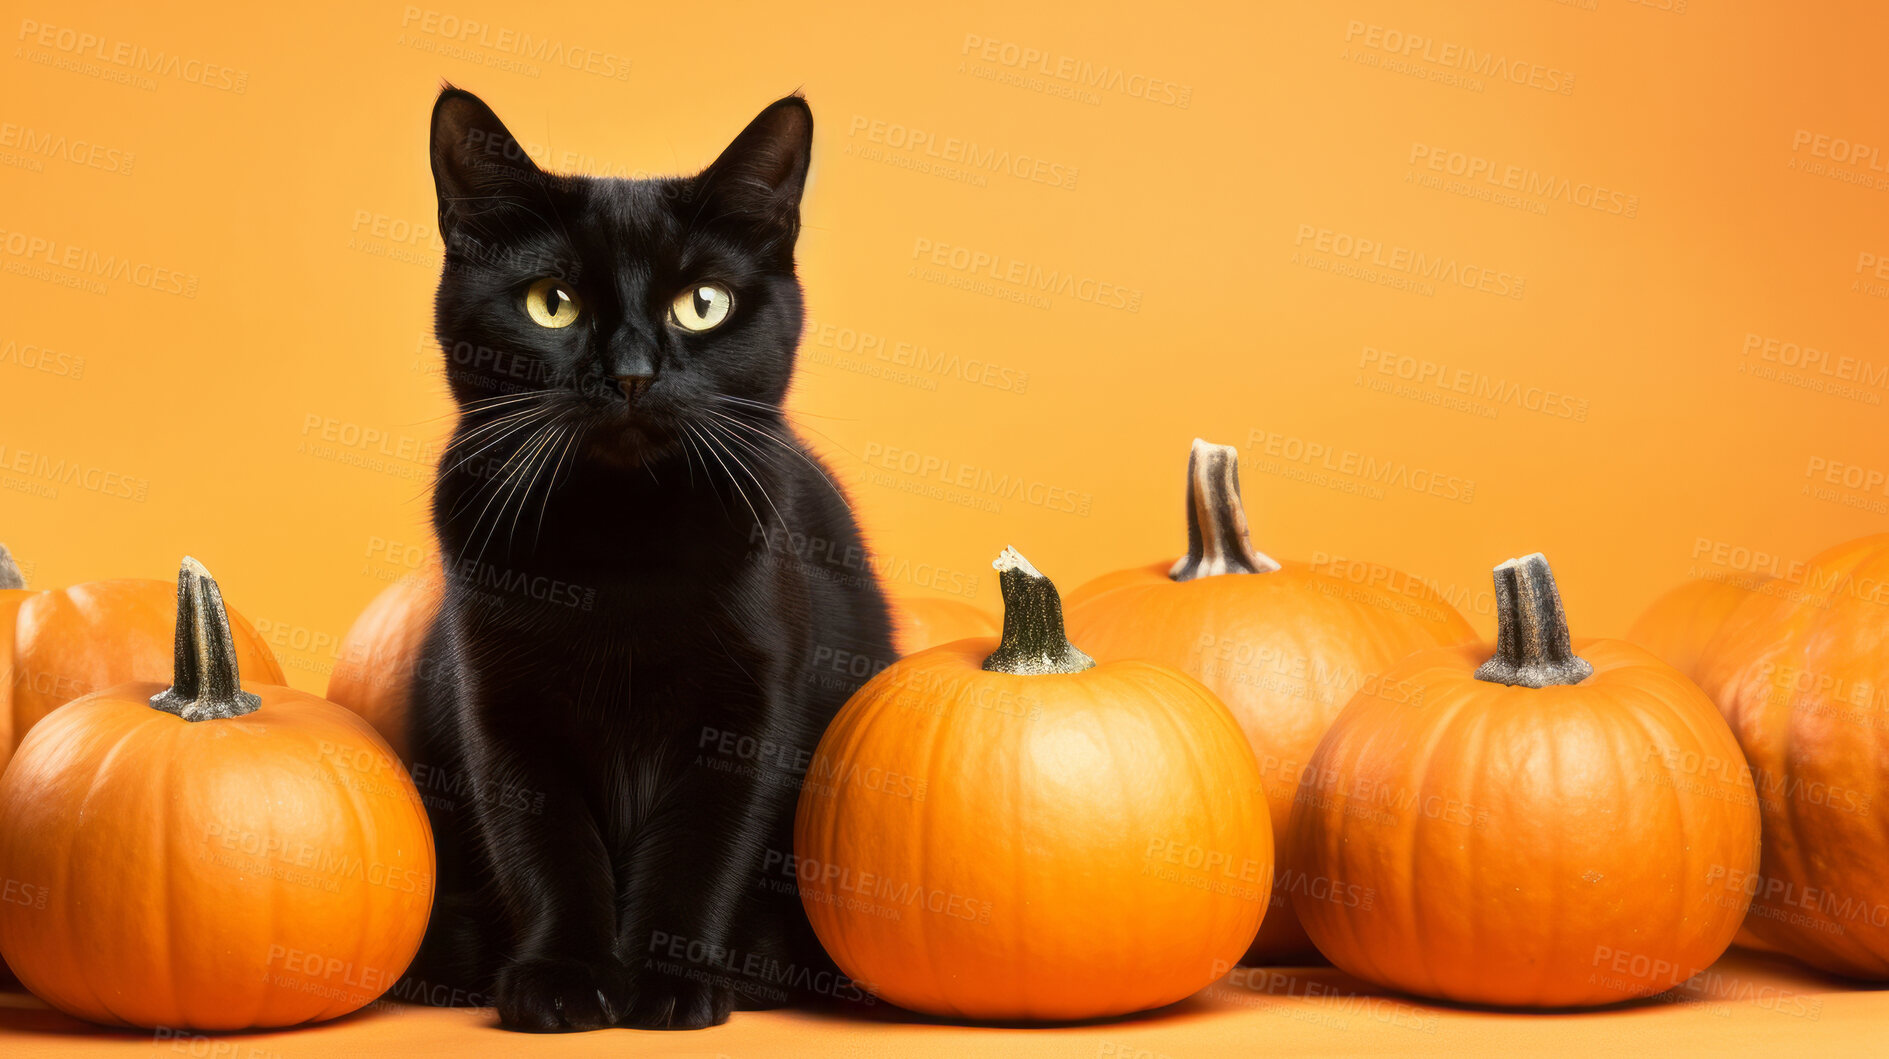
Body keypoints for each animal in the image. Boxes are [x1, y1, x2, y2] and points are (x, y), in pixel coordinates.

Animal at [406, 88, 891, 1034]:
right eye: (550, 303)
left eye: (702, 304)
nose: (631, 371)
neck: (620, 547)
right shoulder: (503, 708)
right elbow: (546, 846)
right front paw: (561, 976)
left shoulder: (746, 714)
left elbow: (701, 847)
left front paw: (669, 980)